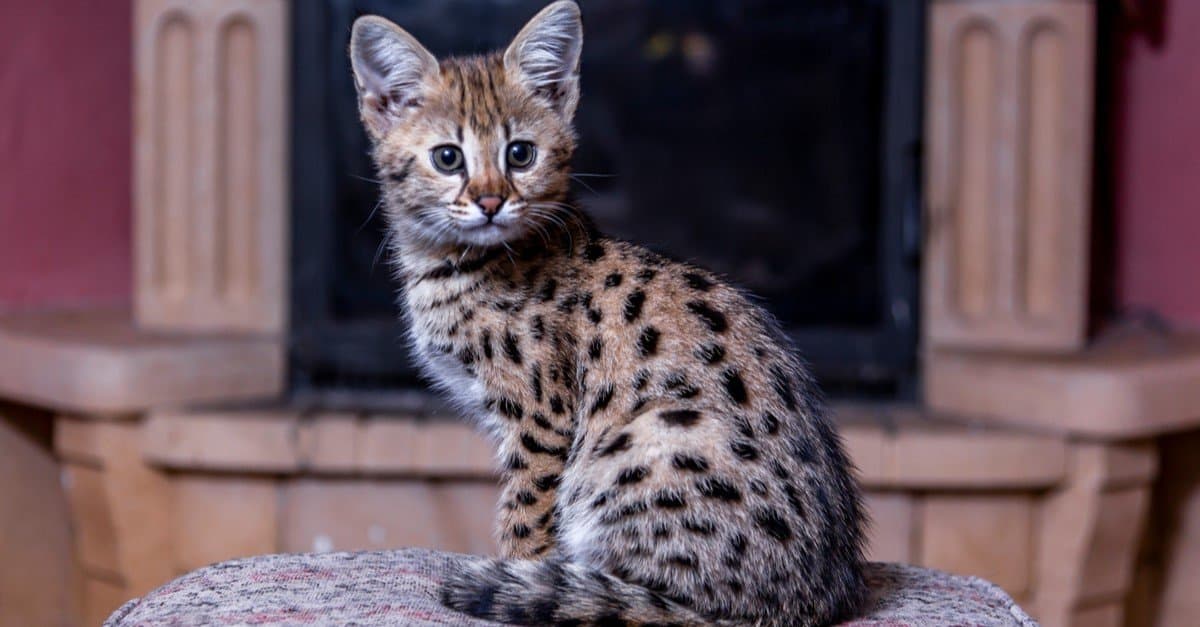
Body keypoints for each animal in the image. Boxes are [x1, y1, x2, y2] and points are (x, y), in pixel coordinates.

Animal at [350, 2, 868, 619]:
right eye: (447, 158)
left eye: (520, 154)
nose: (491, 201)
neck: (455, 262)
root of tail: (814, 601)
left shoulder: (542, 421)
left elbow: (526, 518)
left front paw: (517, 572)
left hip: (647, 437)